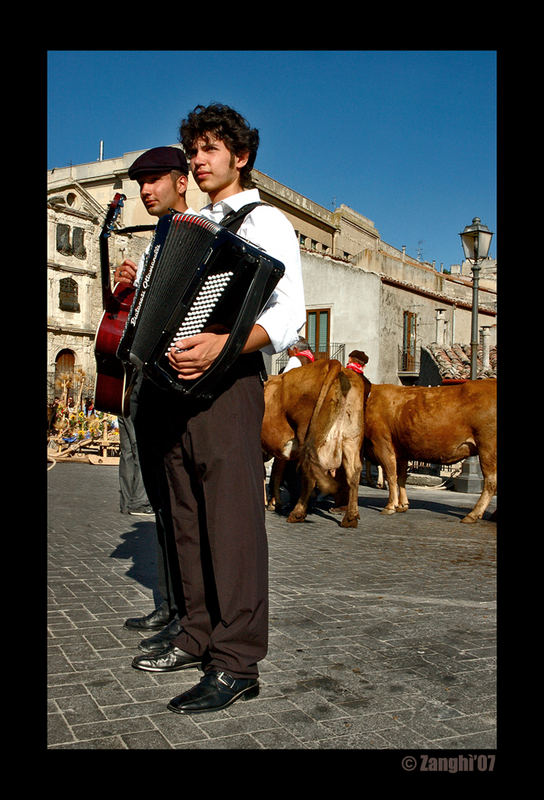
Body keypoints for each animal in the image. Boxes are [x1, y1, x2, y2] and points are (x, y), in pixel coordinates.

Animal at [260, 360, 364, 528]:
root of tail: (332, 363)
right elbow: (276, 472)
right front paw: (274, 502)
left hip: (309, 437)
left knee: (309, 474)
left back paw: (297, 513)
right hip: (351, 437)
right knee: (354, 472)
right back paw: (350, 517)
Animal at [362, 382, 498, 524]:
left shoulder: (382, 443)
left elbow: (391, 475)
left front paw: (390, 506)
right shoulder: (401, 451)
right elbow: (401, 477)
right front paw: (402, 505)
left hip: (487, 448)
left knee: (490, 482)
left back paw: (473, 514)